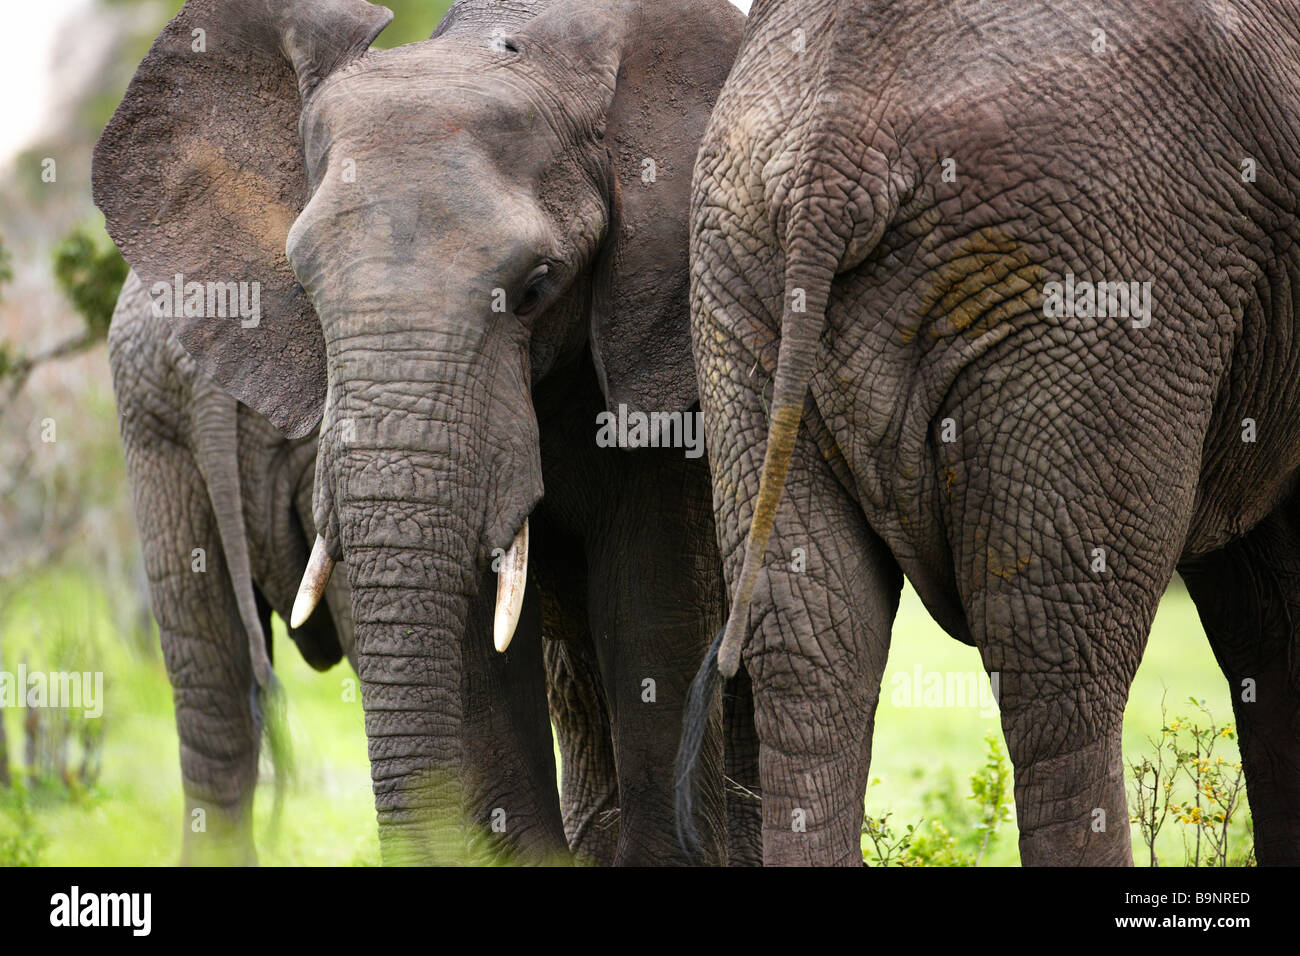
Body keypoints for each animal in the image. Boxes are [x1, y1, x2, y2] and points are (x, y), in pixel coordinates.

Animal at [96, 0, 748, 868]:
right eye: (302, 286)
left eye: (537, 287)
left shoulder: (664, 334)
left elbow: (655, 604)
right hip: (149, 414)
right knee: (209, 676)